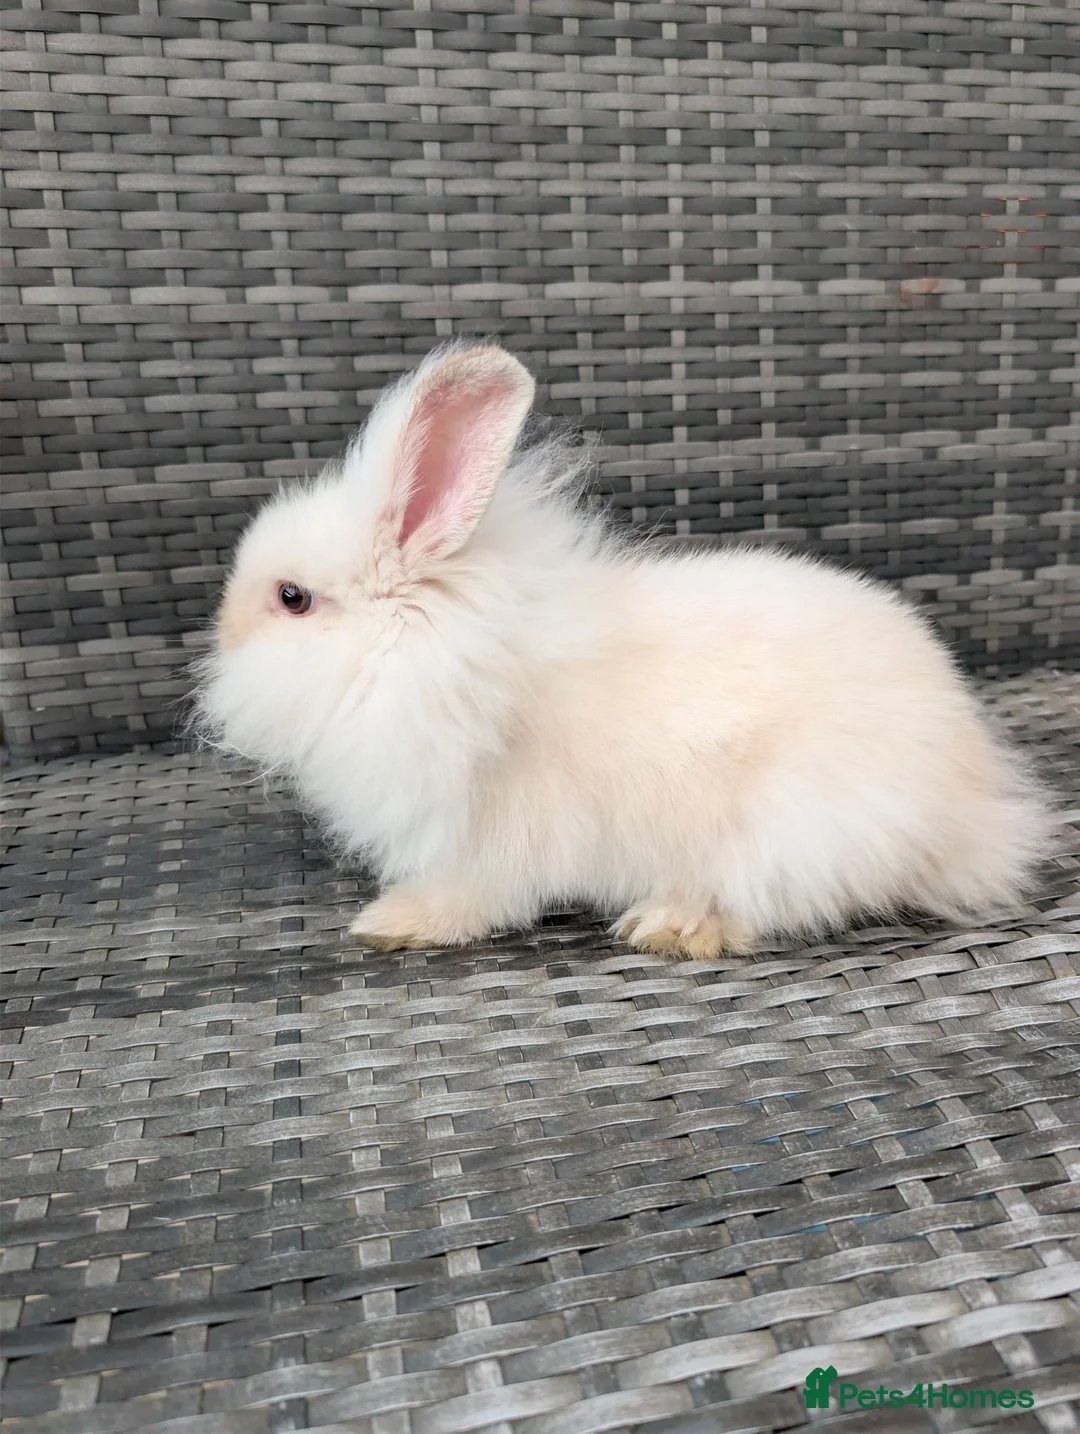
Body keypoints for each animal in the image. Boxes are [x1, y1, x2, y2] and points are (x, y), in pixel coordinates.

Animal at [194, 341, 1052, 959]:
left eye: (292, 598)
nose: (220, 636)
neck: (434, 651)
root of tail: (973, 809)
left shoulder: (489, 840)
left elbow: (469, 898)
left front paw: (392, 923)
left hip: (797, 834)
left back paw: (674, 926)